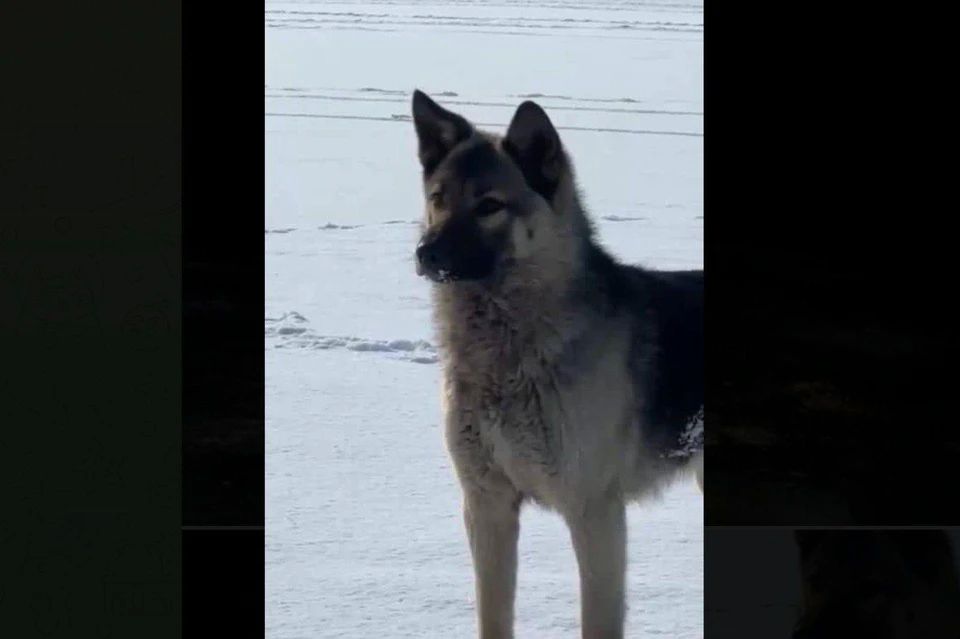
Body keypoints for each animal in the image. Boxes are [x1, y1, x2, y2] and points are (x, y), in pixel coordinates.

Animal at [408, 90, 700, 639]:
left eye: (490, 206)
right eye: (438, 198)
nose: (425, 253)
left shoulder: (594, 513)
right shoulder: (487, 506)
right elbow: (493, 616)